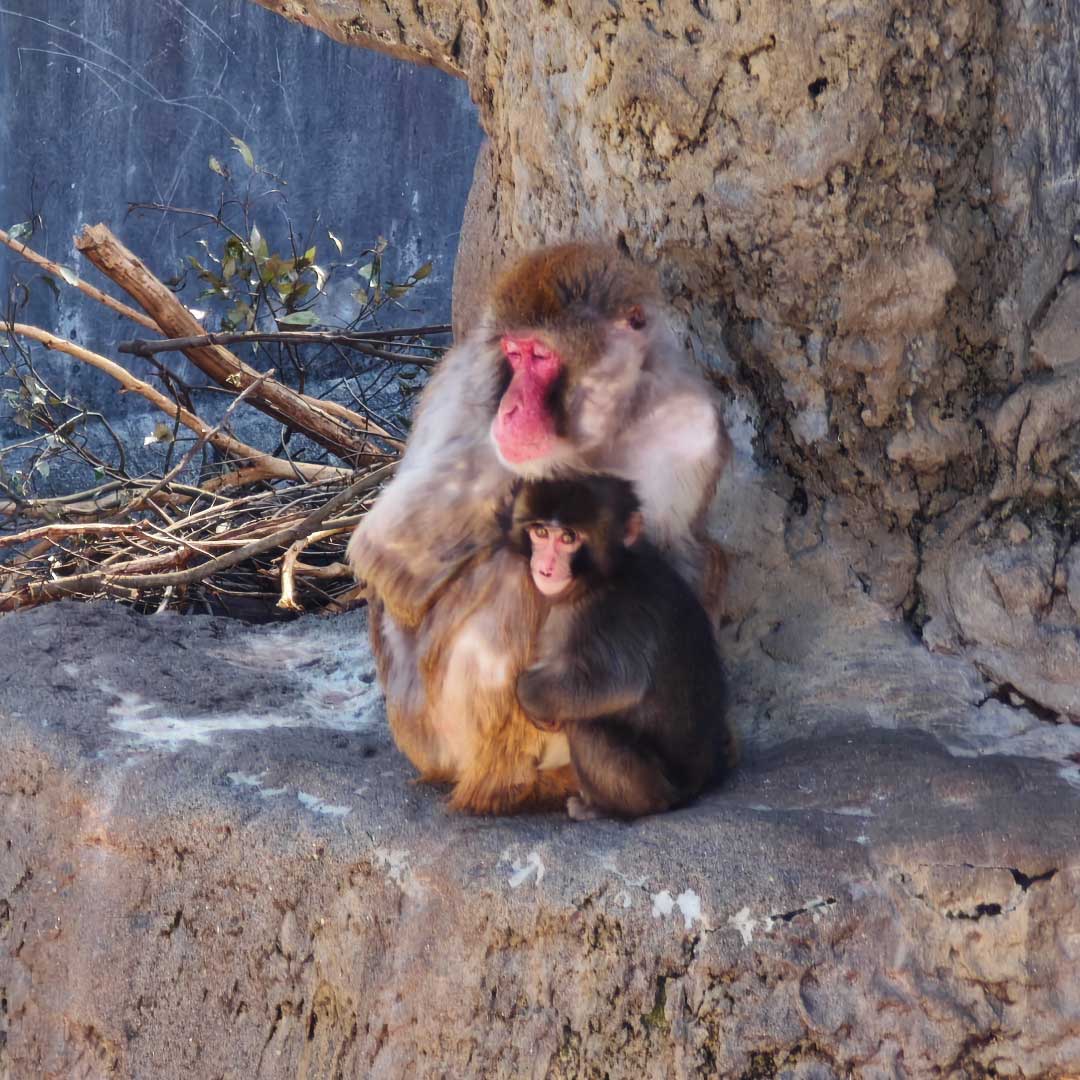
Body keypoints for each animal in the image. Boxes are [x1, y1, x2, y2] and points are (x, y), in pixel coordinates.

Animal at [510, 475, 735, 819]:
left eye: (568, 537)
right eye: (541, 532)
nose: (545, 567)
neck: (599, 576)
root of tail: (699, 783)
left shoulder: (603, 615)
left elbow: (619, 683)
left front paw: (529, 694)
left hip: (651, 786)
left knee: (586, 727)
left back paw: (604, 808)